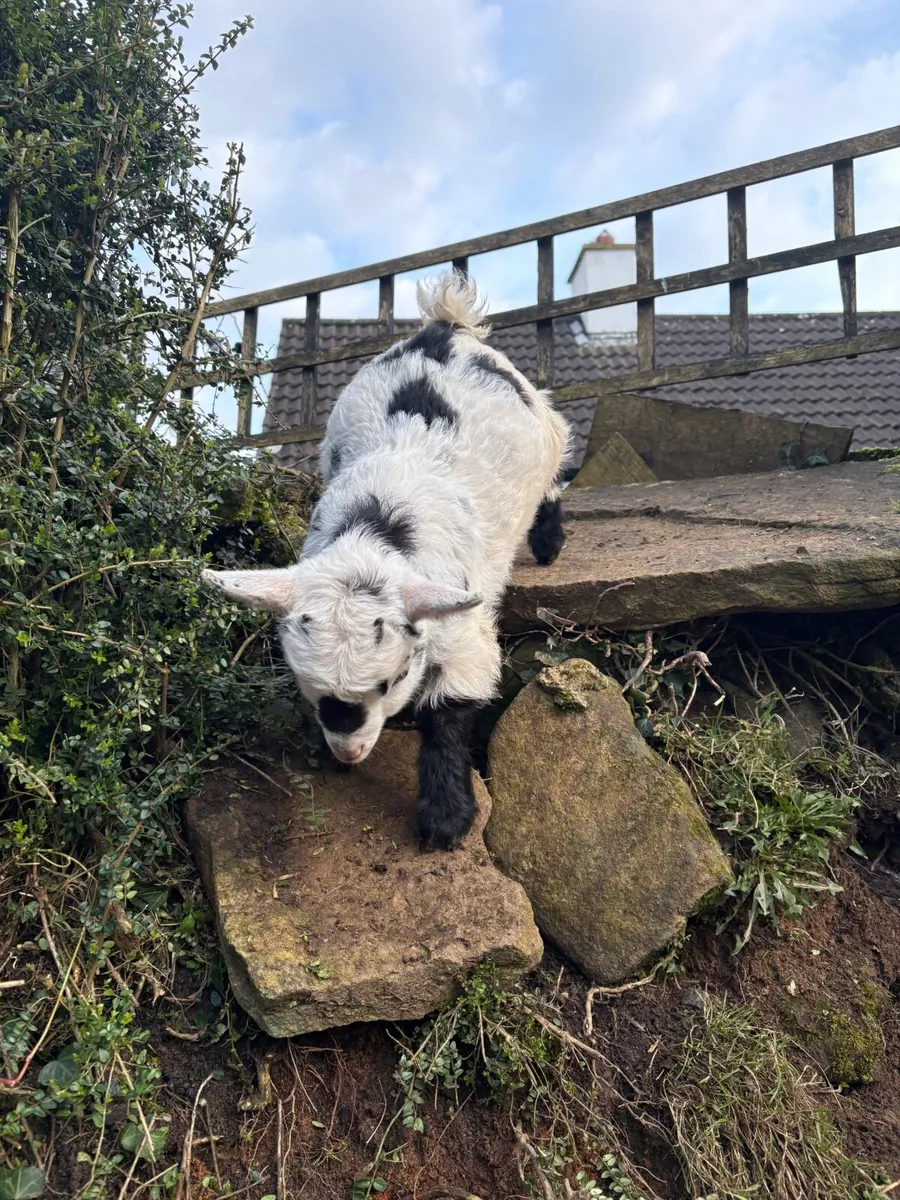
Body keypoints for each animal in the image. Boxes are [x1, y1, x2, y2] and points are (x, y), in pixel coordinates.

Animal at [203, 271, 570, 849]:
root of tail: (446, 328)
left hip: (549, 429)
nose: (349, 751)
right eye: (310, 688)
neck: (374, 532)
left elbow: (449, 709)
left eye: (392, 682)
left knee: (556, 473)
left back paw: (549, 543)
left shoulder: (462, 632)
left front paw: (445, 818)